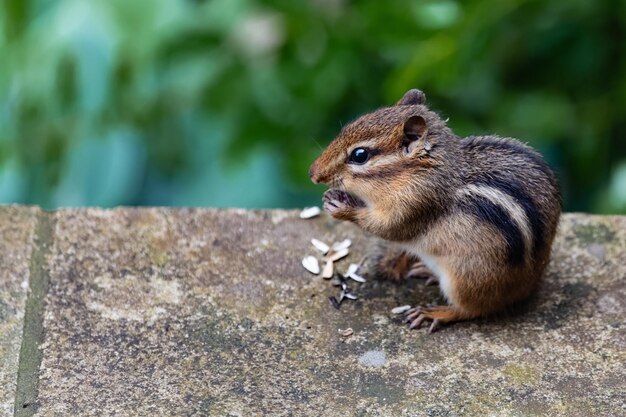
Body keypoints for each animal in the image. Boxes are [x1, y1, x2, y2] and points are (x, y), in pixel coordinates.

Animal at [310, 88, 560, 332]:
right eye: (345, 129)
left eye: (359, 155)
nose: (313, 173)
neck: (417, 171)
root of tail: (527, 287)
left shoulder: (415, 203)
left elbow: (387, 228)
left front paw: (341, 207)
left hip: (466, 278)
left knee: (472, 310)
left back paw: (435, 312)